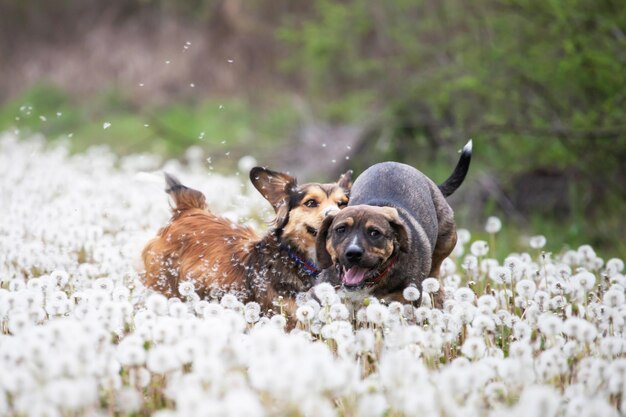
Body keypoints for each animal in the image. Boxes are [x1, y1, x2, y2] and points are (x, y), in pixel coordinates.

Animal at [314, 141, 470, 308]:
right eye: (341, 229)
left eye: (375, 233)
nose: (353, 253)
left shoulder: (407, 295)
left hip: (444, 245)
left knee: (436, 281)